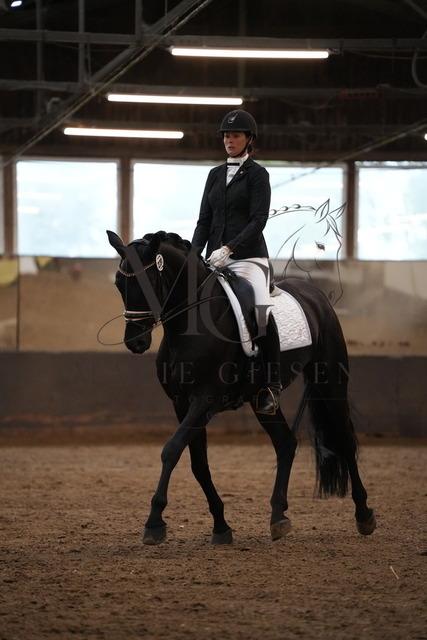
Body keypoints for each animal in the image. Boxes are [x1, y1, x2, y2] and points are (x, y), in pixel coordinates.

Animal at [107, 229, 376, 545]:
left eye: (148, 283)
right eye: (119, 282)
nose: (135, 342)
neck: (190, 326)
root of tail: (315, 295)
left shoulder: (205, 401)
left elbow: (171, 450)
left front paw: (154, 522)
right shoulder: (182, 404)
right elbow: (198, 464)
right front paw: (221, 526)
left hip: (331, 380)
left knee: (345, 440)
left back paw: (364, 515)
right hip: (262, 399)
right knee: (286, 443)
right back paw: (278, 517)